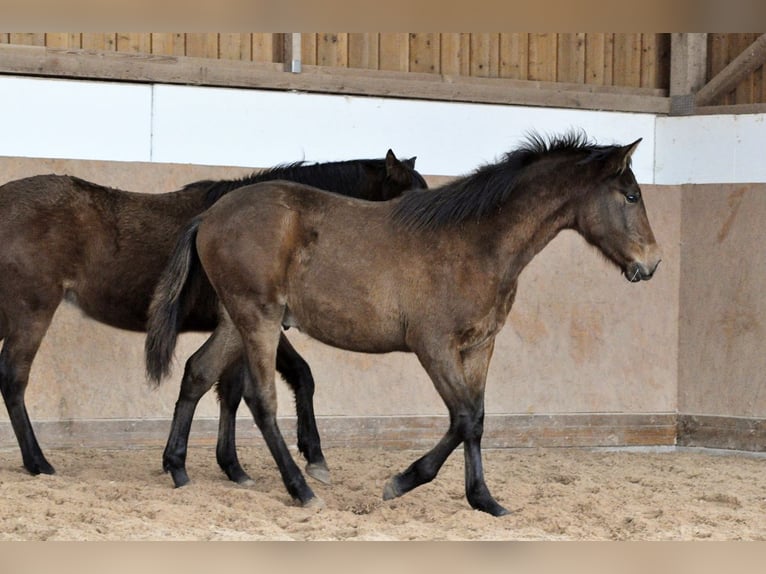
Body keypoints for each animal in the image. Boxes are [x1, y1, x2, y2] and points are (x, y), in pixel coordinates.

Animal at [0, 150, 426, 486]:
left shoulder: (254, 323)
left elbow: (271, 381)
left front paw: (259, 463)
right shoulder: (244, 320)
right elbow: (234, 387)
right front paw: (232, 465)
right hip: (31, 310)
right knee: (14, 378)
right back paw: (37, 462)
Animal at [147, 132, 664, 516]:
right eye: (631, 195)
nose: (652, 262)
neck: (475, 243)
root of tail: (210, 214)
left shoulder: (479, 347)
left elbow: (476, 419)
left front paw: (484, 500)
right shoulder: (432, 345)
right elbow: (464, 417)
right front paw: (401, 482)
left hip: (238, 320)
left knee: (198, 372)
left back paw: (178, 468)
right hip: (259, 319)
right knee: (260, 399)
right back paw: (301, 489)